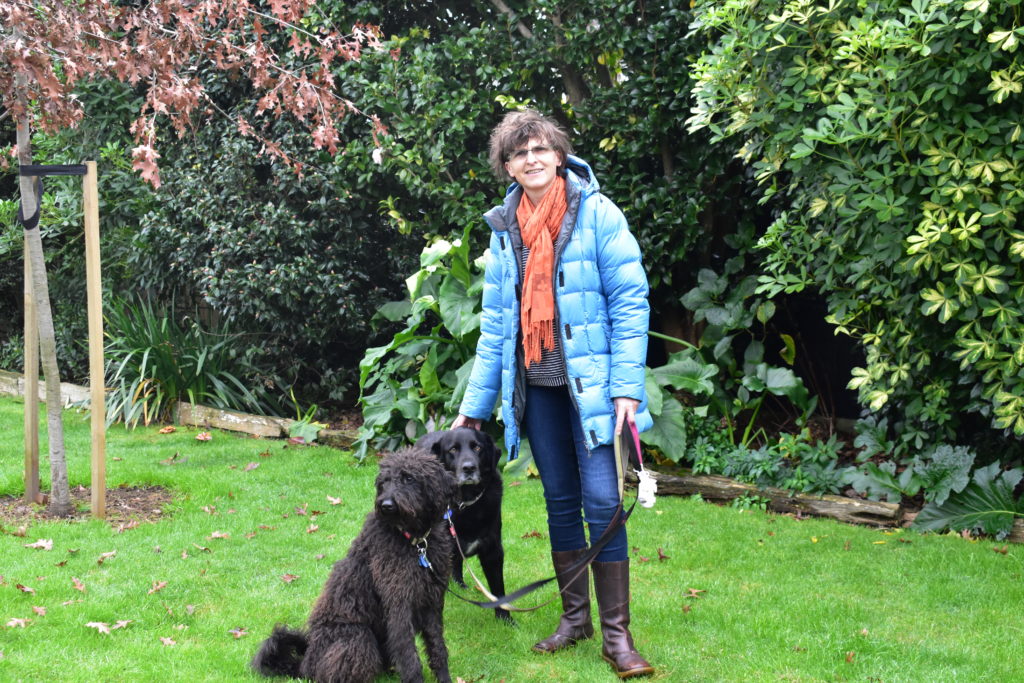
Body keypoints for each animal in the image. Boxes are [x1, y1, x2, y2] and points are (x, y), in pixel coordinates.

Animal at [251, 448, 456, 683]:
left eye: (409, 478)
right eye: (384, 482)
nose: (386, 505)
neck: (415, 542)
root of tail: (305, 663)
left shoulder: (432, 602)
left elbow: (438, 647)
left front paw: (445, 678)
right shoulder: (399, 604)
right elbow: (409, 656)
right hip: (357, 637)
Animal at [413, 430, 512, 622]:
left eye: (478, 447)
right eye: (453, 449)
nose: (469, 468)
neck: (465, 503)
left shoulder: (493, 550)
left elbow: (498, 589)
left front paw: (505, 619)